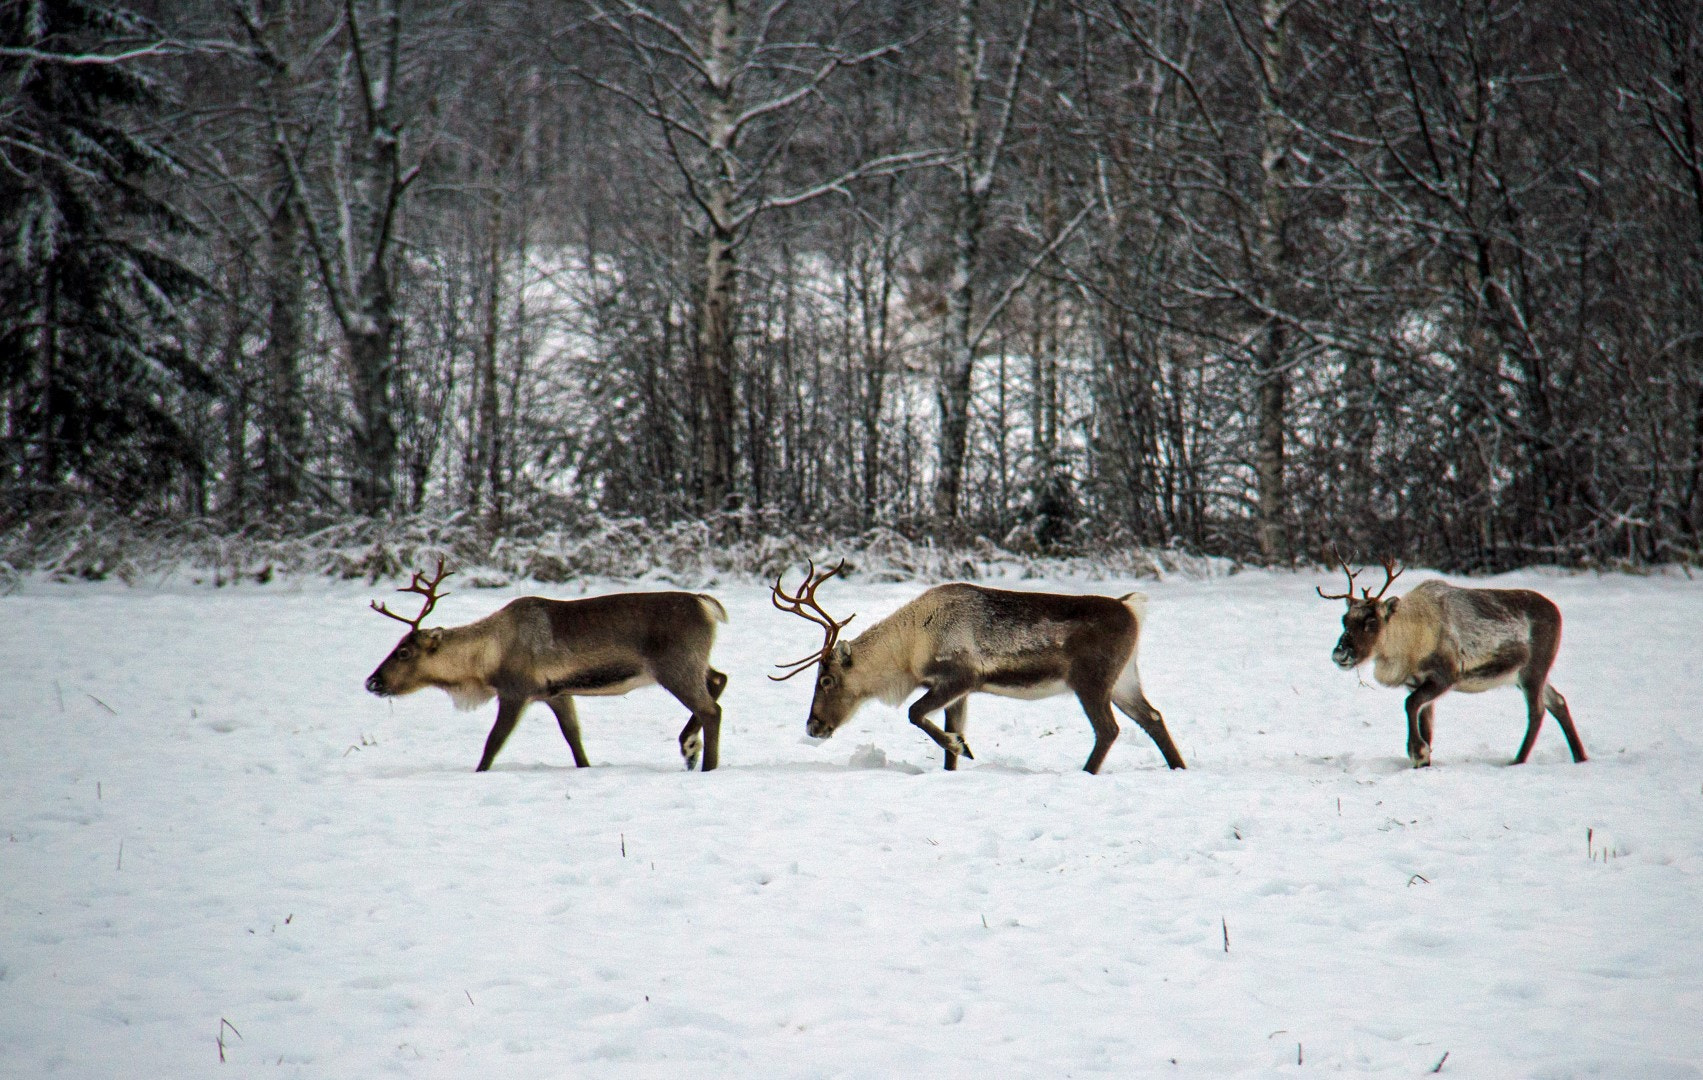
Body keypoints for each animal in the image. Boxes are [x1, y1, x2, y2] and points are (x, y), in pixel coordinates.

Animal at [364, 559, 730, 772]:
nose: (372, 682)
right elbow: (574, 739)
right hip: (693, 663)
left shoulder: (515, 691)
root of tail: (705, 604)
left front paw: (479, 772)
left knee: (712, 709)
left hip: (675, 665)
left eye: (404, 652)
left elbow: (493, 743)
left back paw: (706, 765)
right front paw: (585, 767)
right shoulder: (557, 693)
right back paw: (689, 746)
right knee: (719, 678)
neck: (485, 660)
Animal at [769, 561, 1185, 774]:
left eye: (826, 679)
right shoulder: (958, 690)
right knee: (1153, 717)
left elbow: (915, 714)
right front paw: (957, 756)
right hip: (1124, 679)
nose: (813, 726)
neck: (909, 648)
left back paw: (1087, 773)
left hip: (1091, 680)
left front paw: (962, 747)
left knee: (1108, 729)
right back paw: (1178, 768)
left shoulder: (960, 676)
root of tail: (1132, 607)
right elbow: (947, 737)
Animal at [1319, 556, 1586, 768]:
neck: (1409, 639)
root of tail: (1557, 611)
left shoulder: (1446, 675)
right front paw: (1424, 759)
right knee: (1558, 702)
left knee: (1537, 711)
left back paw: (1517, 761)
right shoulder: (1415, 682)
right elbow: (1424, 720)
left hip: (1533, 669)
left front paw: (1418, 752)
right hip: (1528, 675)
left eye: (1371, 621)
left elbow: (1410, 704)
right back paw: (1580, 757)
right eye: (1345, 619)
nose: (1340, 654)